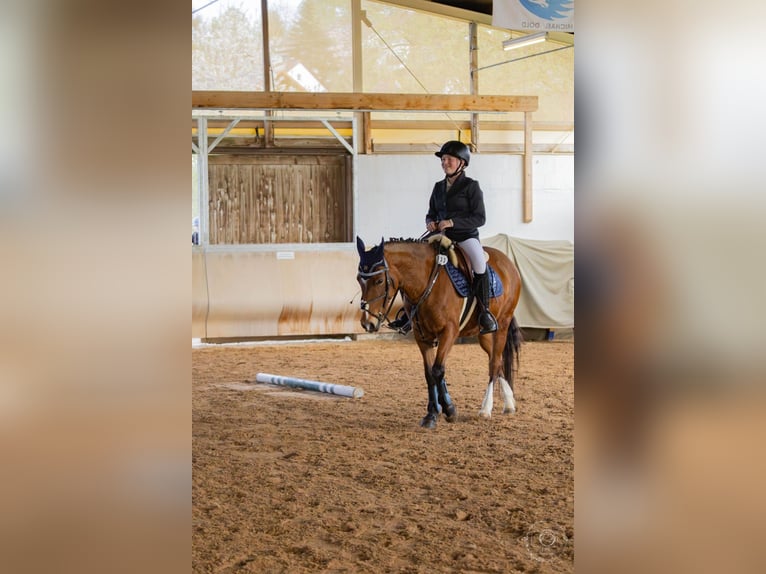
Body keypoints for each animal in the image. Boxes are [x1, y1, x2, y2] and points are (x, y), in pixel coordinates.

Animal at [356, 235, 523, 428]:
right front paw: (432, 414)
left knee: (494, 363)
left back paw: (486, 409)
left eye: (379, 281)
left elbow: (437, 370)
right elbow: (429, 374)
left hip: (502, 324)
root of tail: (508, 263)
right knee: (497, 360)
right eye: (359, 279)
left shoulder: (449, 332)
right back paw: (509, 403)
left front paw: (449, 410)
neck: (427, 284)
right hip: (485, 335)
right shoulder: (422, 337)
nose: (367, 323)